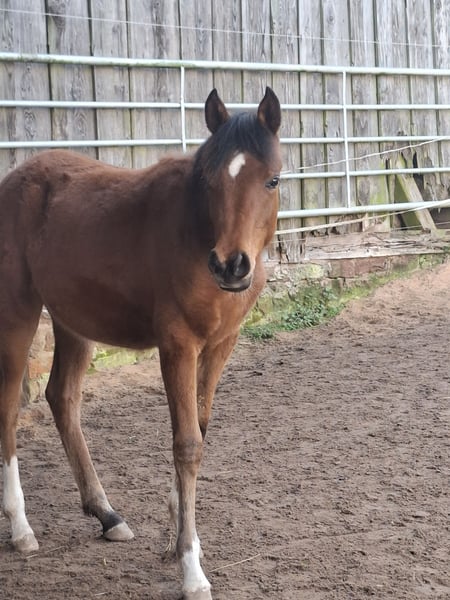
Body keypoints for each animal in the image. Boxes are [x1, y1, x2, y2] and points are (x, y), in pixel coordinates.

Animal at [0, 87, 281, 600]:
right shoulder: (178, 346)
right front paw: (191, 569)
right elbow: (187, 444)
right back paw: (20, 526)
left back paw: (106, 514)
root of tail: (13, 181)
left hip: (74, 321)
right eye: (210, 181)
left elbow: (200, 429)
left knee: (61, 398)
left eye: (271, 180)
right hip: (17, 313)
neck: (194, 232)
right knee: (9, 407)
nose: (232, 266)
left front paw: (177, 536)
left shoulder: (220, 346)